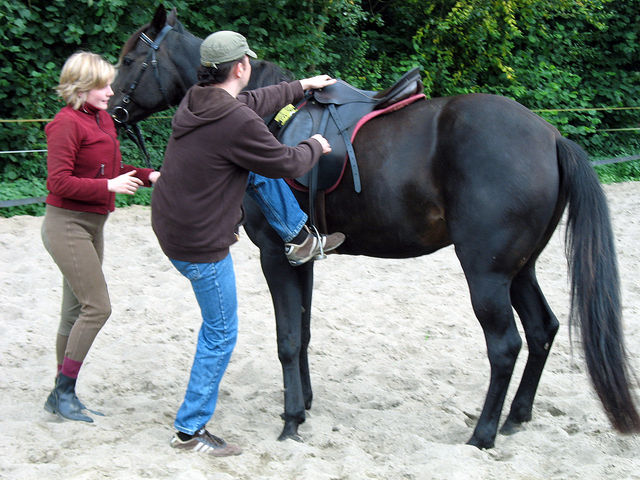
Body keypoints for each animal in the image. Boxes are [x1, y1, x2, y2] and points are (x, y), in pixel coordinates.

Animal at [110, 5, 640, 450]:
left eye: (130, 58)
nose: (112, 109)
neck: (266, 119)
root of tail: (551, 136)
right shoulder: (301, 255)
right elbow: (303, 331)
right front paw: (304, 406)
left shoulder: (273, 254)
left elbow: (286, 339)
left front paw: (289, 422)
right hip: (519, 269)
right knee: (542, 329)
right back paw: (515, 418)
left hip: (487, 273)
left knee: (506, 345)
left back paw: (482, 435)